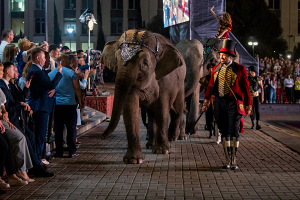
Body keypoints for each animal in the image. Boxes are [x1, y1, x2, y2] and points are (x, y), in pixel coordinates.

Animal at [99, 30, 197, 164]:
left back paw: (172, 137)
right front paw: (134, 160)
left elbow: (162, 109)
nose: (102, 136)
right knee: (152, 115)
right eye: (117, 60)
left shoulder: (164, 80)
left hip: (181, 83)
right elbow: (131, 110)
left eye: (145, 64)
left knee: (177, 109)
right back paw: (151, 145)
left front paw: (162, 151)